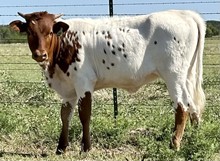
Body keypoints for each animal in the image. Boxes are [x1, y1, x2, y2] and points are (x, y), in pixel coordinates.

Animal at [9, 10, 206, 153]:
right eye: (30, 32)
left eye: (50, 32)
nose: (40, 54)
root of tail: (184, 13)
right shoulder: (68, 89)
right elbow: (65, 115)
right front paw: (61, 148)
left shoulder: (83, 83)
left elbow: (84, 114)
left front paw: (86, 148)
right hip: (187, 76)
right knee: (192, 103)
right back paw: (196, 134)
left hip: (173, 75)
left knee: (182, 106)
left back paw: (174, 144)